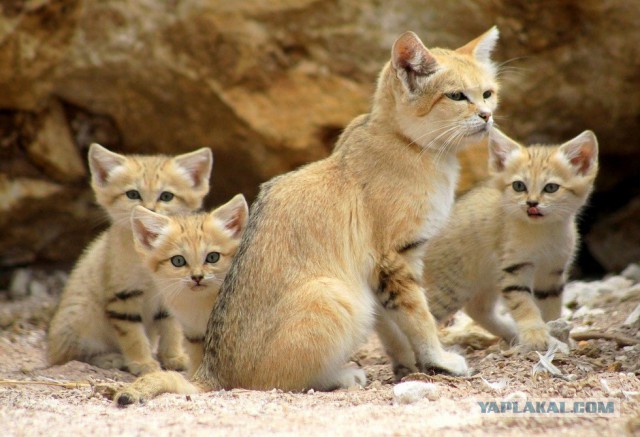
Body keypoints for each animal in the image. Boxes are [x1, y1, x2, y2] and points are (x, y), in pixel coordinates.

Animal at [48, 144, 212, 374]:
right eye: (133, 194)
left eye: (166, 196)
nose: (149, 210)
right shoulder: (122, 296)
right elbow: (133, 335)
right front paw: (142, 363)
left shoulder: (170, 295)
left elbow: (172, 329)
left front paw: (173, 357)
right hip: (81, 318)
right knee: (70, 356)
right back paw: (109, 358)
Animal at [422, 127, 596, 350]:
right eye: (519, 186)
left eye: (551, 188)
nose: (531, 203)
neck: (544, 232)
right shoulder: (514, 269)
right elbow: (525, 305)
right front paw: (535, 335)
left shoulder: (552, 273)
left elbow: (550, 308)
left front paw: (555, 332)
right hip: (450, 288)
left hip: (485, 281)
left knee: (477, 309)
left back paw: (510, 333)